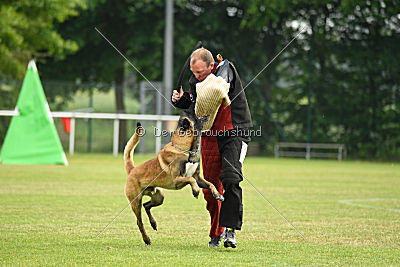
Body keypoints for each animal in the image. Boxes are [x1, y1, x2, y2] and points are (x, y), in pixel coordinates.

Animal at [123, 110, 223, 246]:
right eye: (193, 116)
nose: (191, 109)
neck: (186, 150)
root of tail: (132, 170)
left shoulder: (198, 178)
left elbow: (210, 184)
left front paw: (218, 195)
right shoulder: (177, 180)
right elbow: (190, 180)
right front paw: (196, 191)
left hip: (159, 196)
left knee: (146, 205)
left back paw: (154, 224)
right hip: (135, 202)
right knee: (139, 221)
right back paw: (146, 239)